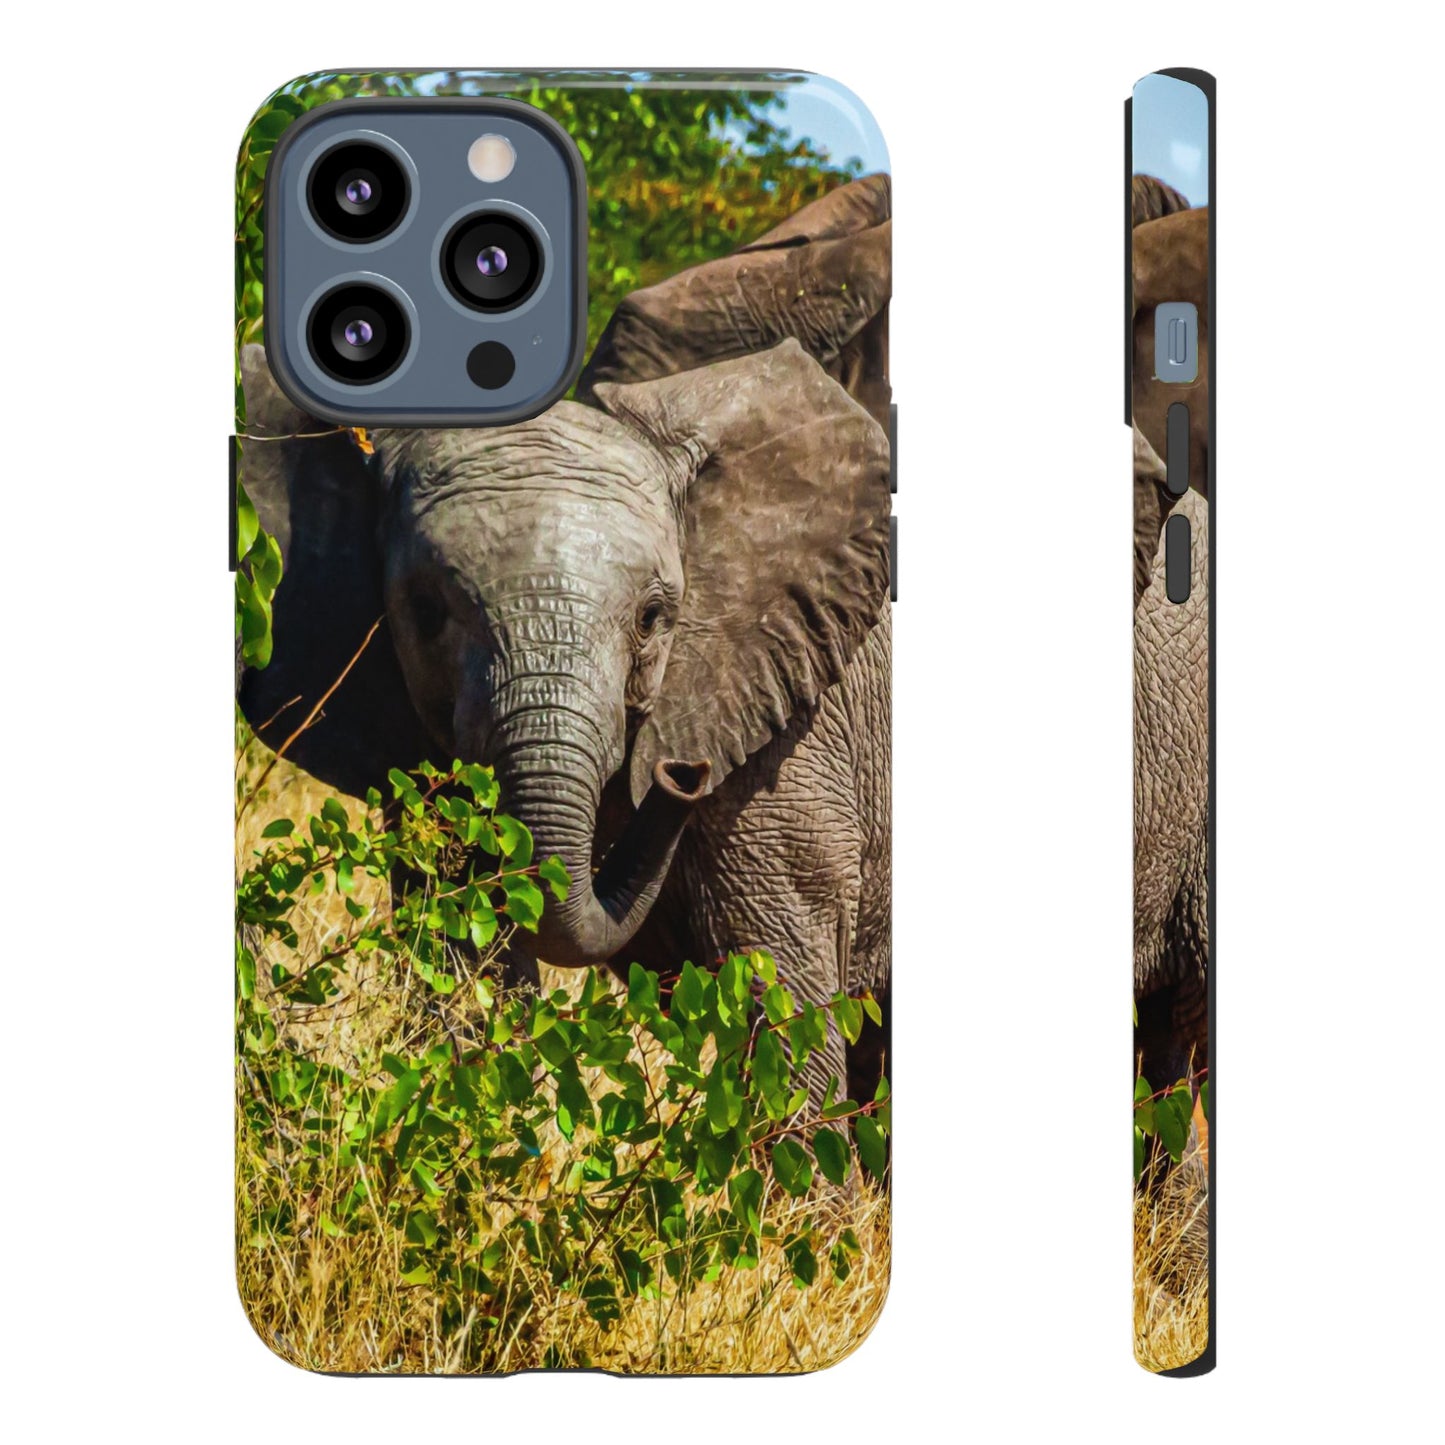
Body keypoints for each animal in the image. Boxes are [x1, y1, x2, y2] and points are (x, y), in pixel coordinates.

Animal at [238, 176, 893, 1103]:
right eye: (425, 611)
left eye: (654, 618)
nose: (680, 774)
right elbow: (462, 950)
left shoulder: (787, 747)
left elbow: (780, 1000)